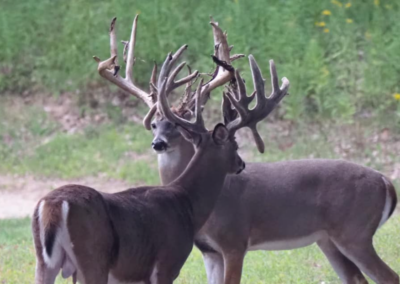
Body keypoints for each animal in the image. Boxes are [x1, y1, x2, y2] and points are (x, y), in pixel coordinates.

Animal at [95, 15, 398, 284]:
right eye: (155, 124)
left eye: (175, 128)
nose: (158, 143)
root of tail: (386, 182)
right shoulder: (209, 251)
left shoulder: (235, 240)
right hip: (328, 239)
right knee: (357, 278)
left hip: (354, 232)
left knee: (387, 276)